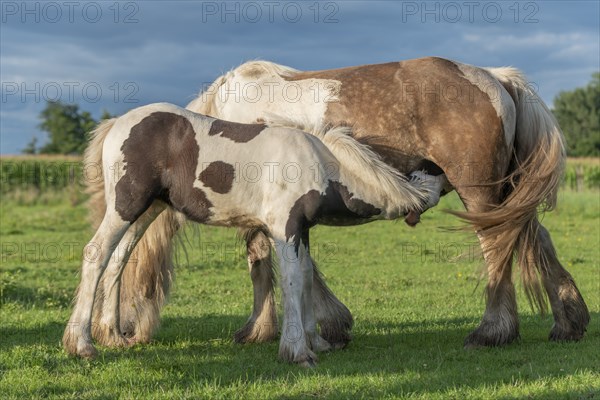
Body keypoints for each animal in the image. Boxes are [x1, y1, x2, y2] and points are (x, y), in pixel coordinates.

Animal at [90, 56, 592, 350]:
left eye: (130, 281)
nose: (119, 331)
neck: (212, 128)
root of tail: (497, 79)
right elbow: (278, 262)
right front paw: (310, 326)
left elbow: (269, 263)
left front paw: (285, 328)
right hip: (505, 192)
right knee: (533, 237)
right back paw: (568, 320)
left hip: (481, 193)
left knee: (497, 249)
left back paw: (493, 331)